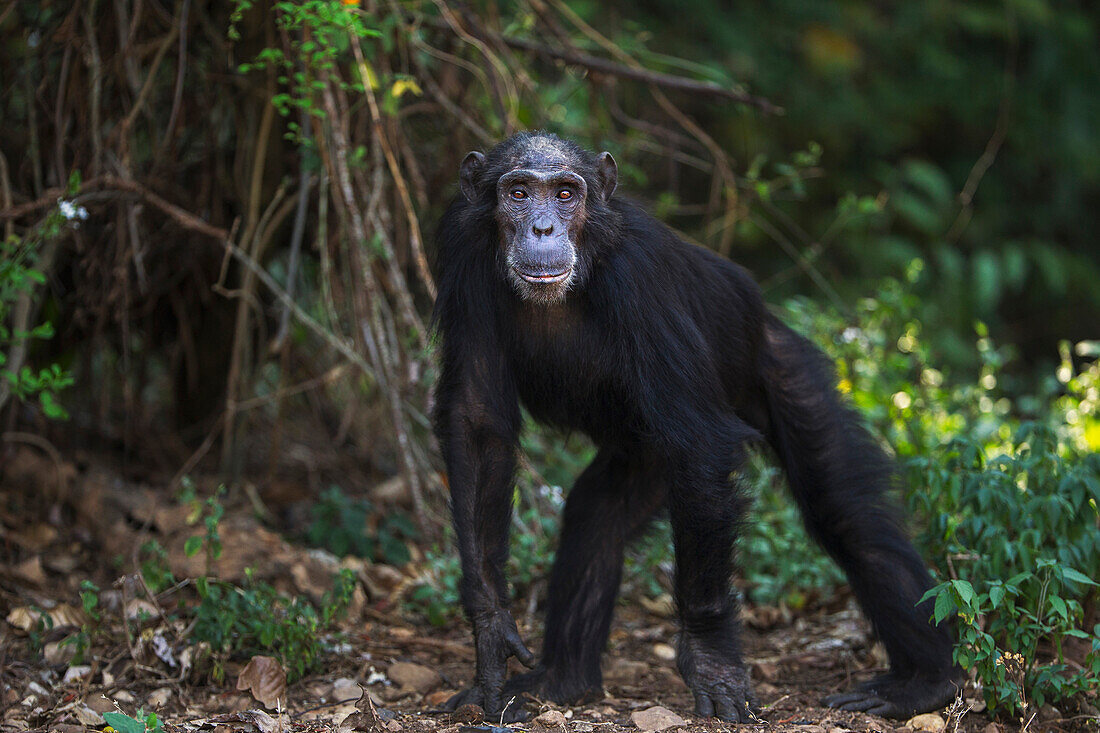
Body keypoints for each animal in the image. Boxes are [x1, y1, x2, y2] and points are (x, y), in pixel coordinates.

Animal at [433, 129, 959, 717]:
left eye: (566, 194)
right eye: (519, 193)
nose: (543, 227)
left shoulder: (642, 276)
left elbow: (700, 442)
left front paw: (710, 658)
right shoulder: (462, 252)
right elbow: (478, 422)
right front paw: (491, 633)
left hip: (784, 369)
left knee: (846, 515)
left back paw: (926, 680)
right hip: (643, 456)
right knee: (596, 516)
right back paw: (561, 679)